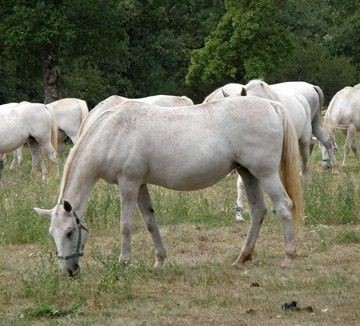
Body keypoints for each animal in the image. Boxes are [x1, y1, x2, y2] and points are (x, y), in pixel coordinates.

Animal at [35, 97, 302, 278]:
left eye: (70, 232)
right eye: (52, 234)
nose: (68, 271)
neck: (112, 132)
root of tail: (271, 105)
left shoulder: (128, 183)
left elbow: (126, 225)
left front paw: (123, 262)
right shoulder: (141, 184)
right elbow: (150, 222)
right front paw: (160, 261)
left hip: (265, 173)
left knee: (284, 206)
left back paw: (289, 257)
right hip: (248, 174)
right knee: (258, 211)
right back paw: (242, 258)